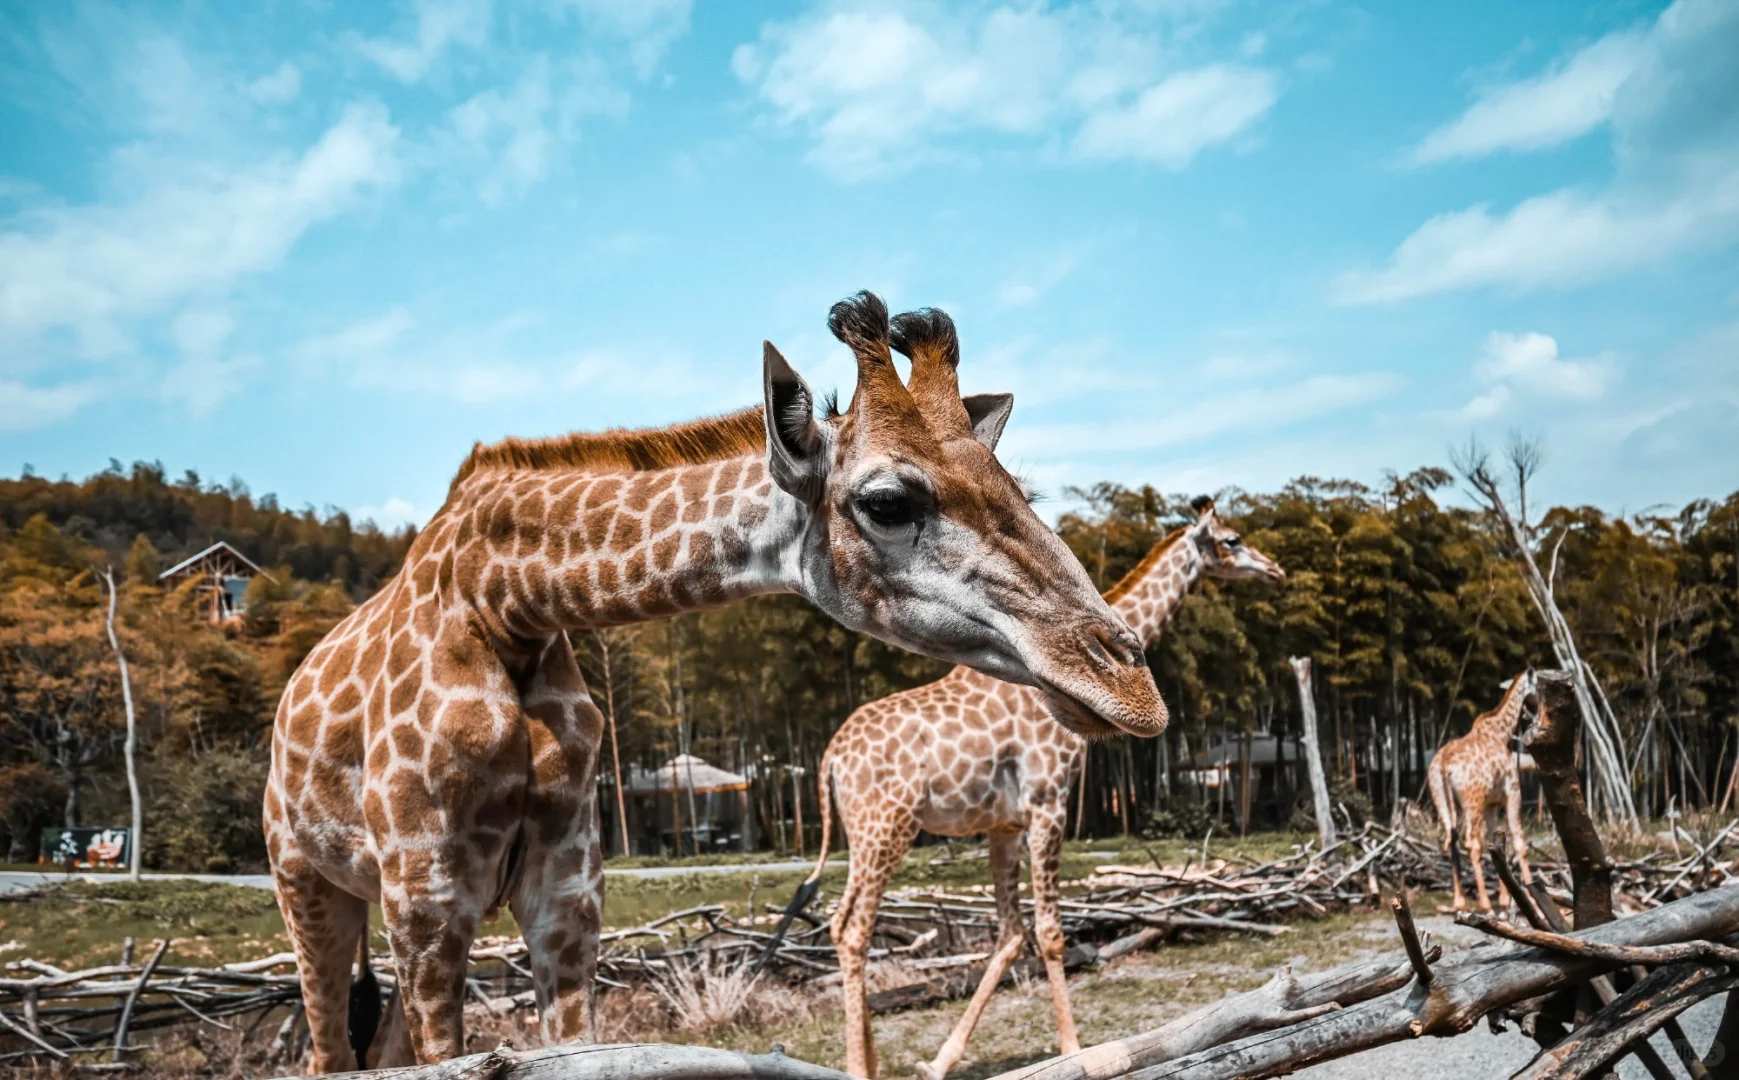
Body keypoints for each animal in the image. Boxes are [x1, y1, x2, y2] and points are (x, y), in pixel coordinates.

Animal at [260, 292, 1168, 1071]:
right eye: (886, 500)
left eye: (1019, 488)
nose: (1131, 689)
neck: (504, 601)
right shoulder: (429, 897)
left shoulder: (568, 892)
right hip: (308, 883)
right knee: (328, 1047)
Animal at [786, 497, 1279, 1078]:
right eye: (1233, 540)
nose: (1275, 569)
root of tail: (830, 760)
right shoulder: (1050, 802)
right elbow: (1049, 932)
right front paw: (1073, 1049)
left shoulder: (1004, 824)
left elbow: (1010, 933)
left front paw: (942, 1059)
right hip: (886, 826)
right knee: (852, 930)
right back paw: (860, 1066)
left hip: (865, 833)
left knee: (844, 926)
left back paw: (874, 1060)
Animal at [1425, 671, 1537, 911]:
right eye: (1539, 686)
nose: (1535, 713)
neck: (1502, 733)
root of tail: (1444, 763)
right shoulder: (1512, 792)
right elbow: (1518, 841)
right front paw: (1531, 897)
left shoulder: (1492, 804)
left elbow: (1496, 844)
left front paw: (1505, 898)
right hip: (1472, 801)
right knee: (1471, 843)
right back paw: (1485, 903)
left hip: (1441, 799)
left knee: (1452, 839)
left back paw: (1460, 901)